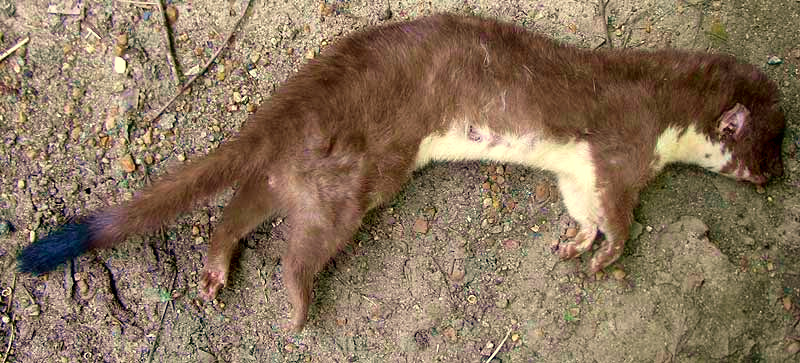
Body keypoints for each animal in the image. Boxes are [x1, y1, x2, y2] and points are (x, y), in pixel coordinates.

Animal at [15, 14, 784, 332]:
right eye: (772, 147)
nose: (776, 182)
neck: (653, 95)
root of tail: (301, 93)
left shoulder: (579, 169)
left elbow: (583, 208)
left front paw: (573, 245)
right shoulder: (621, 148)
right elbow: (619, 214)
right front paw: (605, 257)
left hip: (300, 170)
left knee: (243, 206)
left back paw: (214, 268)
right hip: (352, 181)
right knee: (298, 246)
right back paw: (296, 308)